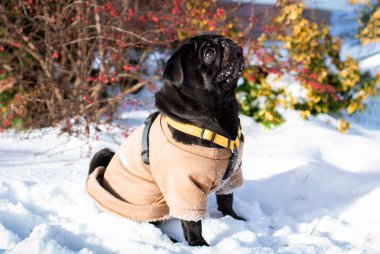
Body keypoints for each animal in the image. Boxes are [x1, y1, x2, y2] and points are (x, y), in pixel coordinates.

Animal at [88, 32, 245, 245]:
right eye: (209, 54)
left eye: (225, 38)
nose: (229, 43)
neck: (219, 113)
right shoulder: (184, 188)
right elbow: (193, 223)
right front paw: (199, 245)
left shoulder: (232, 175)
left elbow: (227, 200)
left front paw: (235, 220)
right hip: (146, 207)